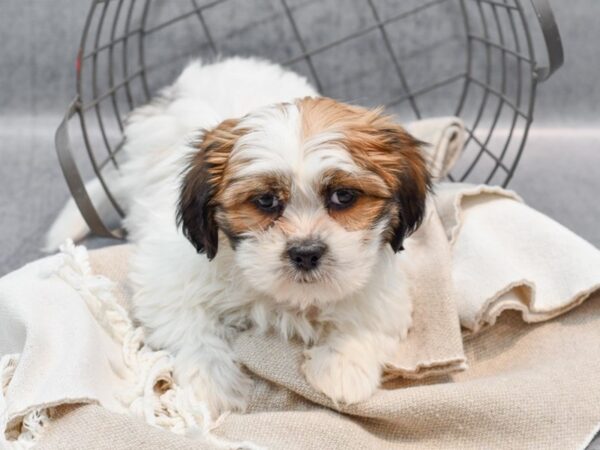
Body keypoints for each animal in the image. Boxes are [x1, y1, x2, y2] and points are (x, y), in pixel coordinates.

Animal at [47, 58, 432, 416]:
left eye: (344, 196)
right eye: (265, 201)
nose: (306, 252)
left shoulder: (383, 278)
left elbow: (372, 317)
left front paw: (342, 369)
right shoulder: (167, 279)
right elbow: (190, 327)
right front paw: (211, 385)